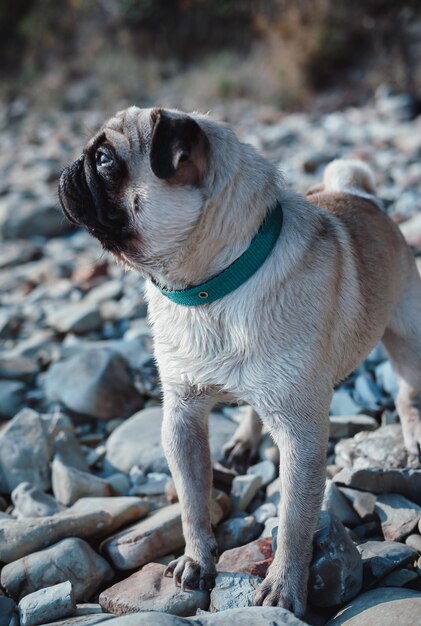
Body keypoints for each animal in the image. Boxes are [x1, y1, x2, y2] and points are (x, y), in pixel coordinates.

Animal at [58, 107, 420, 616]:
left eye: (106, 160)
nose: (69, 168)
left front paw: (284, 588)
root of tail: (360, 195)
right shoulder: (182, 418)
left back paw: (413, 436)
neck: (211, 289)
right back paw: (244, 443)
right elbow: (191, 500)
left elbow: (294, 520)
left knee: (407, 393)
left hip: (407, 339)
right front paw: (196, 560)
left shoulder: (301, 437)